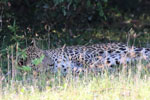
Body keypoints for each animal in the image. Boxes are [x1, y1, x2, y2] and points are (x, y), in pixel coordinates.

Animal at [19, 40, 150, 75]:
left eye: (44, 55)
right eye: (36, 62)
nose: (51, 64)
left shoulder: (83, 54)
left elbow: (89, 60)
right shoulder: (70, 70)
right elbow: (86, 69)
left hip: (126, 49)